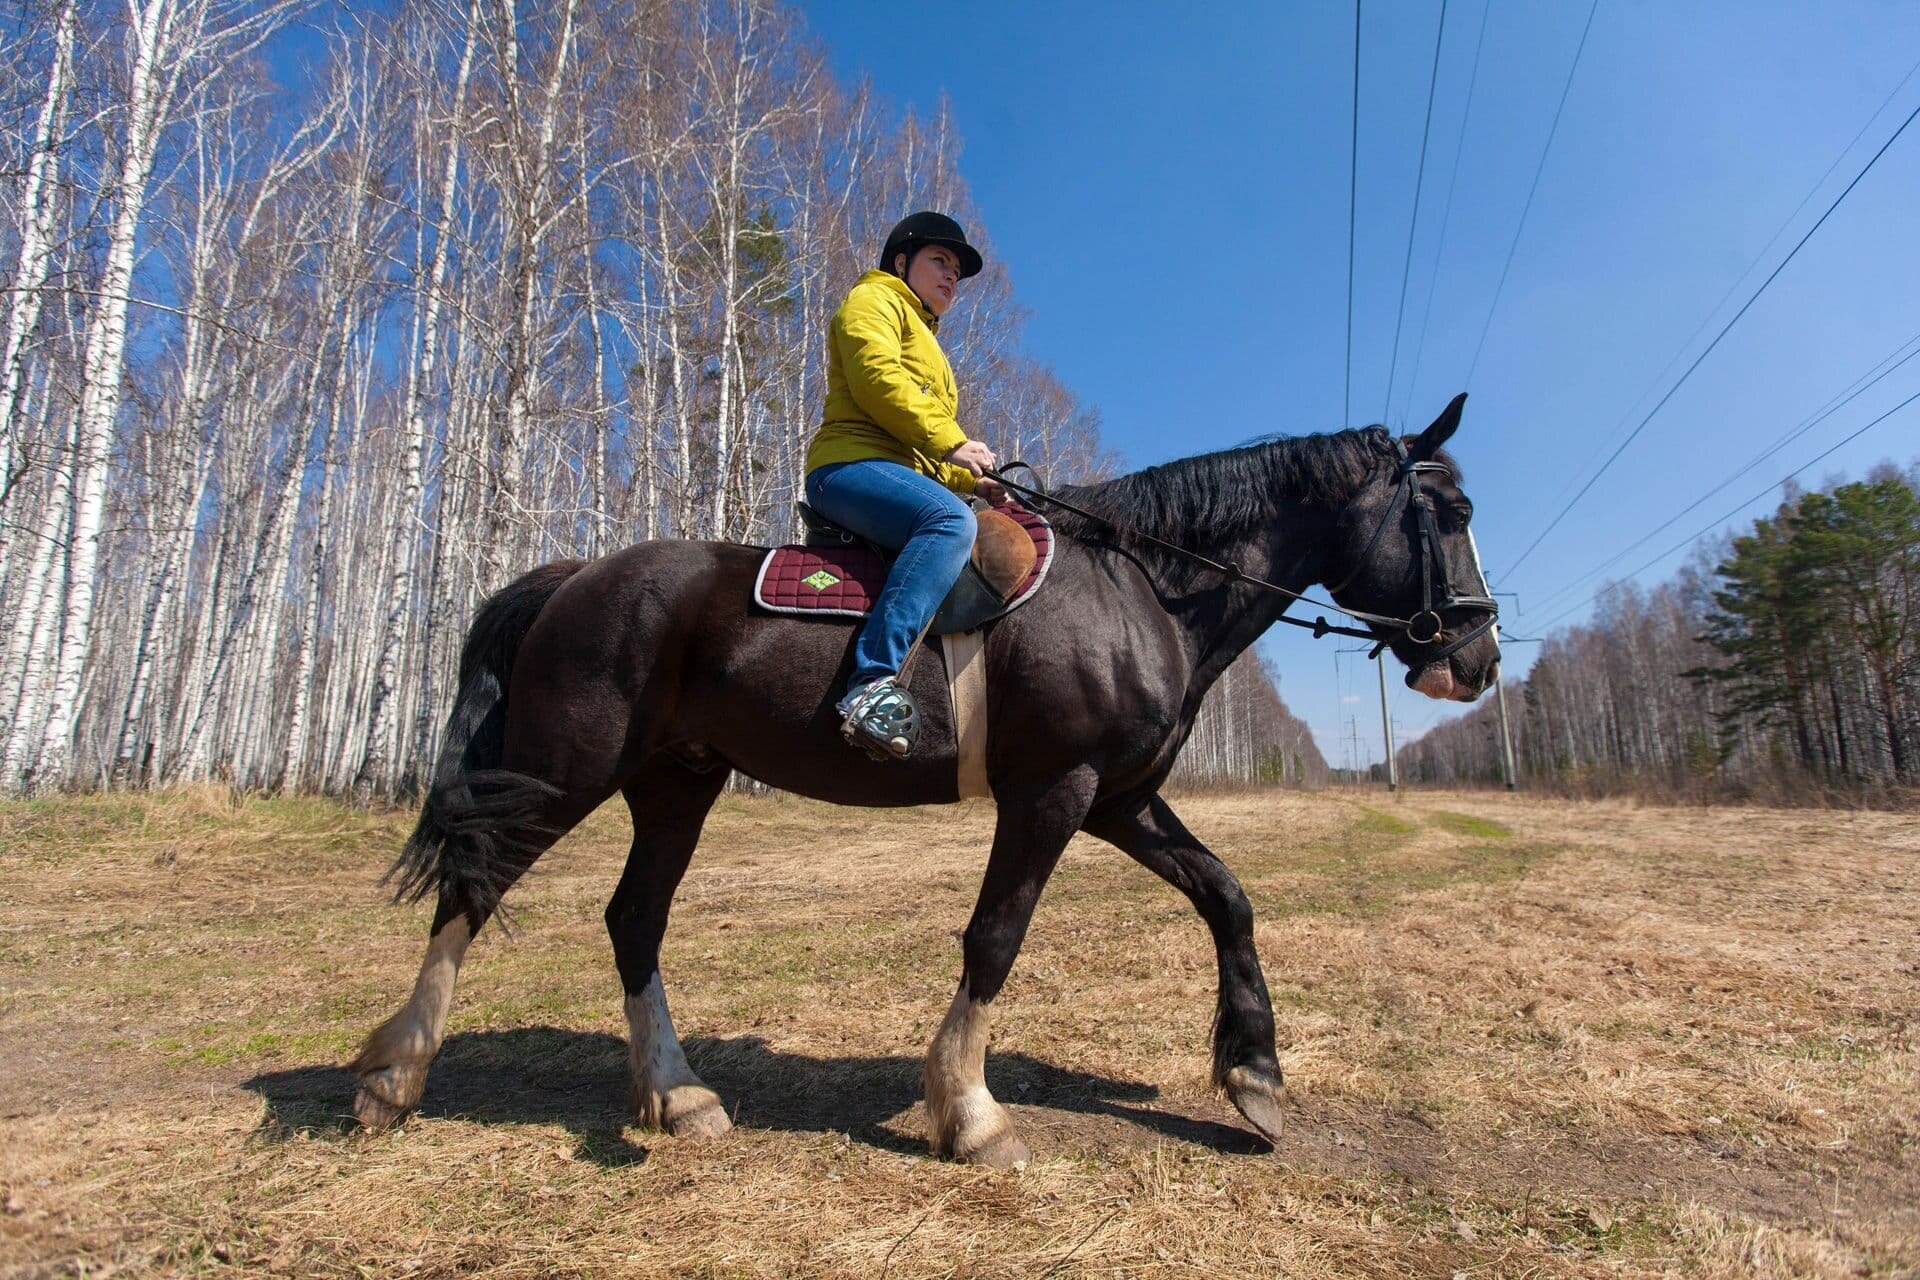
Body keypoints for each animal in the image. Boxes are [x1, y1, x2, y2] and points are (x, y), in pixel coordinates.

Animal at [353, 395, 1505, 1166]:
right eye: (1450, 512)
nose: (1481, 656)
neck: (1142, 587)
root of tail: (575, 577)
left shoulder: (1120, 798)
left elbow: (1226, 894)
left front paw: (1254, 1072)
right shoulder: (1055, 793)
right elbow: (996, 936)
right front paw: (970, 1110)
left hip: (675, 784)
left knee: (632, 917)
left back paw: (676, 1096)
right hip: (562, 768)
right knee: (473, 885)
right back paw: (391, 1073)